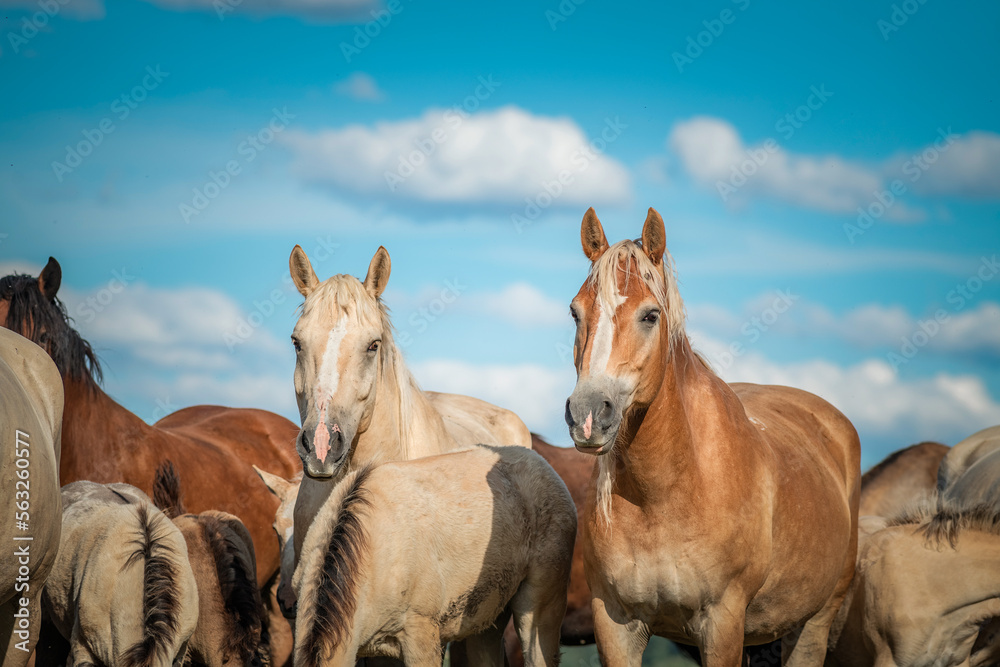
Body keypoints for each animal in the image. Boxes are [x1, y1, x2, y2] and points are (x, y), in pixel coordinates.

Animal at [563, 207, 861, 667]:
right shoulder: (614, 625)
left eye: (650, 315)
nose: (588, 415)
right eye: (576, 313)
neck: (664, 494)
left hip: (815, 621)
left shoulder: (722, 622)